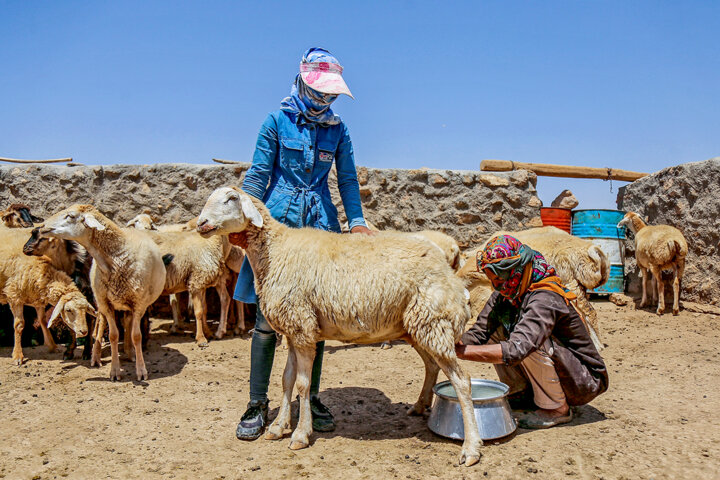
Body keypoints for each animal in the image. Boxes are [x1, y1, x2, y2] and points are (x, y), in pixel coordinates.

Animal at [39, 204, 166, 380]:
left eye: (70, 216)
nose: (41, 226)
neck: (117, 258)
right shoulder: (106, 303)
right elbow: (113, 336)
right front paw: (114, 371)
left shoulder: (139, 304)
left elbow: (136, 335)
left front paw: (141, 371)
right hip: (101, 302)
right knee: (101, 323)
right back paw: (96, 356)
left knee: (128, 324)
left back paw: (130, 352)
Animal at [194, 188, 480, 468]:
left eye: (231, 199)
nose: (201, 224)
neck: (275, 251)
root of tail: (448, 268)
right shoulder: (294, 329)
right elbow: (286, 380)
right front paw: (278, 427)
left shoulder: (302, 328)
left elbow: (302, 385)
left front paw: (300, 434)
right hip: (418, 327)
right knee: (432, 366)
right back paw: (420, 406)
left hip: (433, 322)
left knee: (462, 380)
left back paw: (471, 449)